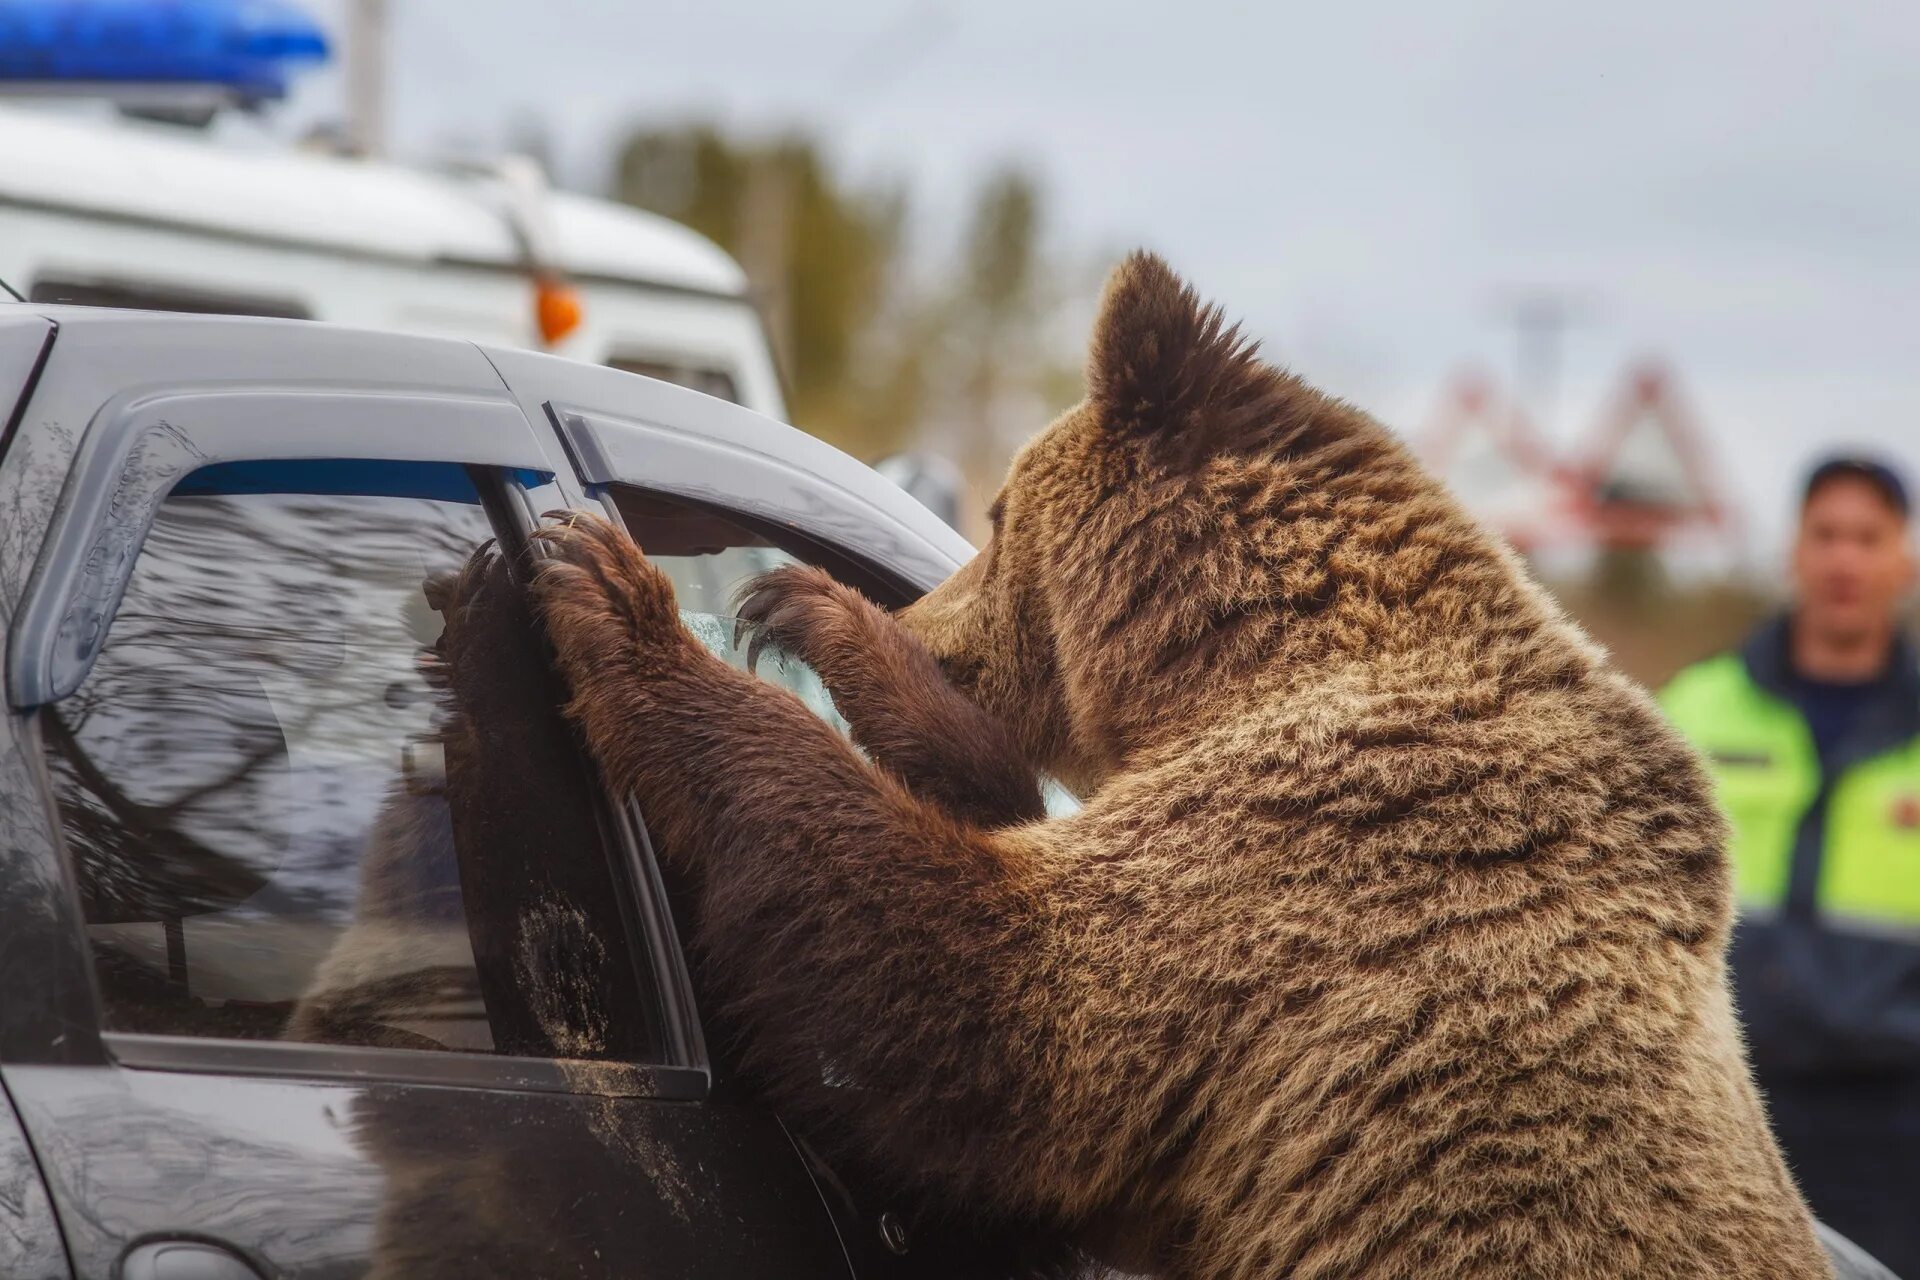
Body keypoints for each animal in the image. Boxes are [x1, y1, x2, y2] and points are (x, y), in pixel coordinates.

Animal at [529, 253, 1827, 1280]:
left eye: (996, 513)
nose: (929, 618)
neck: (1238, 662)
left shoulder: (1315, 862)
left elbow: (984, 998)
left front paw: (643, 599)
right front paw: (846, 641)